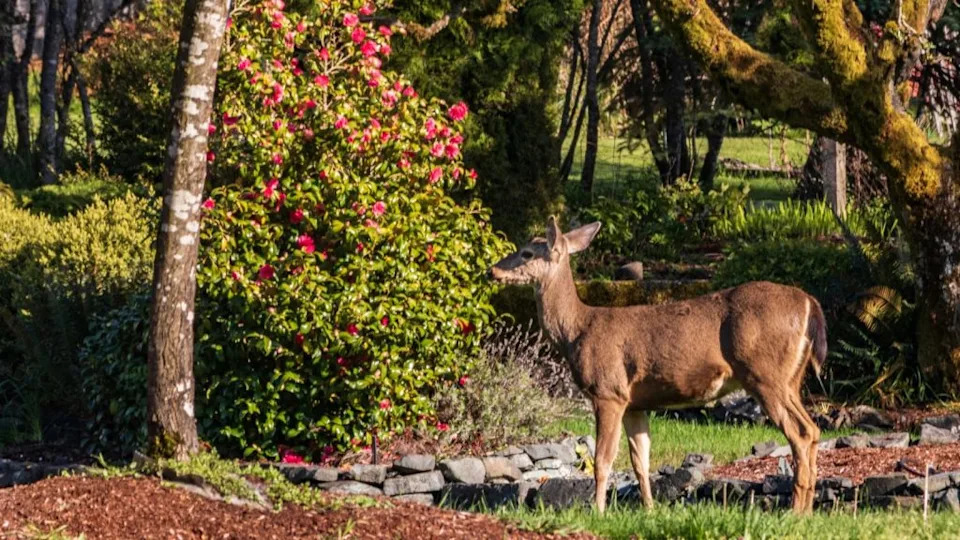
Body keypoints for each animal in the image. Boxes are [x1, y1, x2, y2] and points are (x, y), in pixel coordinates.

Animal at [488, 217, 827, 513]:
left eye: (526, 252)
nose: (492, 270)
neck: (577, 330)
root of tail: (810, 303)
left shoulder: (609, 391)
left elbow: (603, 460)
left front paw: (598, 511)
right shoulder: (635, 403)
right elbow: (641, 460)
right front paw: (649, 509)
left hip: (764, 373)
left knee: (801, 432)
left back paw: (795, 511)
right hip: (790, 378)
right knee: (813, 429)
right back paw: (807, 510)